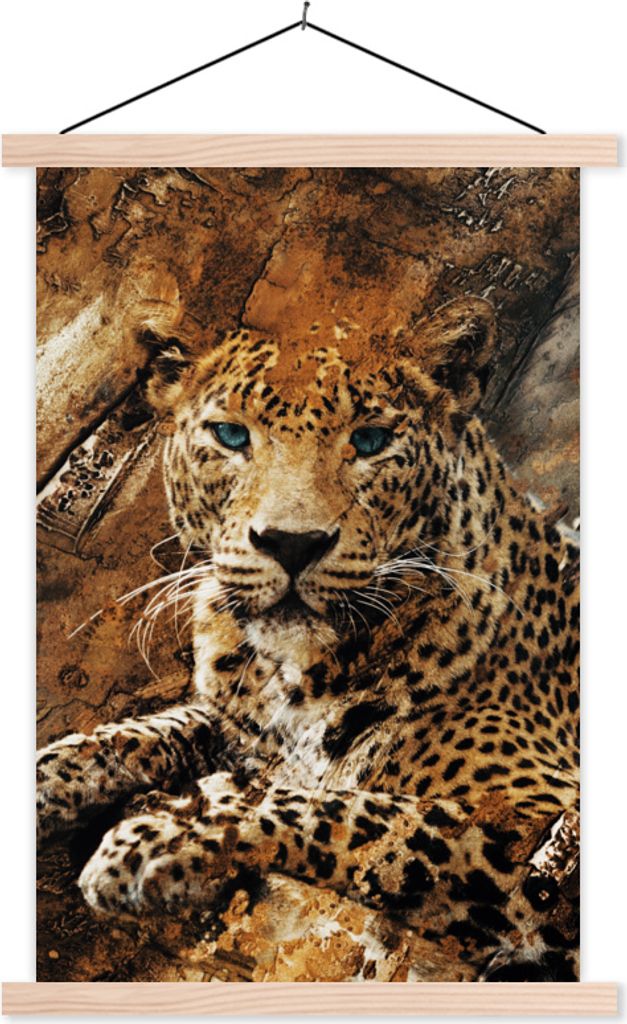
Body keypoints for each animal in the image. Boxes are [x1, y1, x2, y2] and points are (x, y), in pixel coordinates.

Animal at [37, 296, 580, 981]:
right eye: (231, 436)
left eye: (371, 440)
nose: (292, 543)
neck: (294, 675)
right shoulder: (236, 724)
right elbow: (134, 735)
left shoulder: (542, 824)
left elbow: (353, 814)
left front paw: (158, 840)